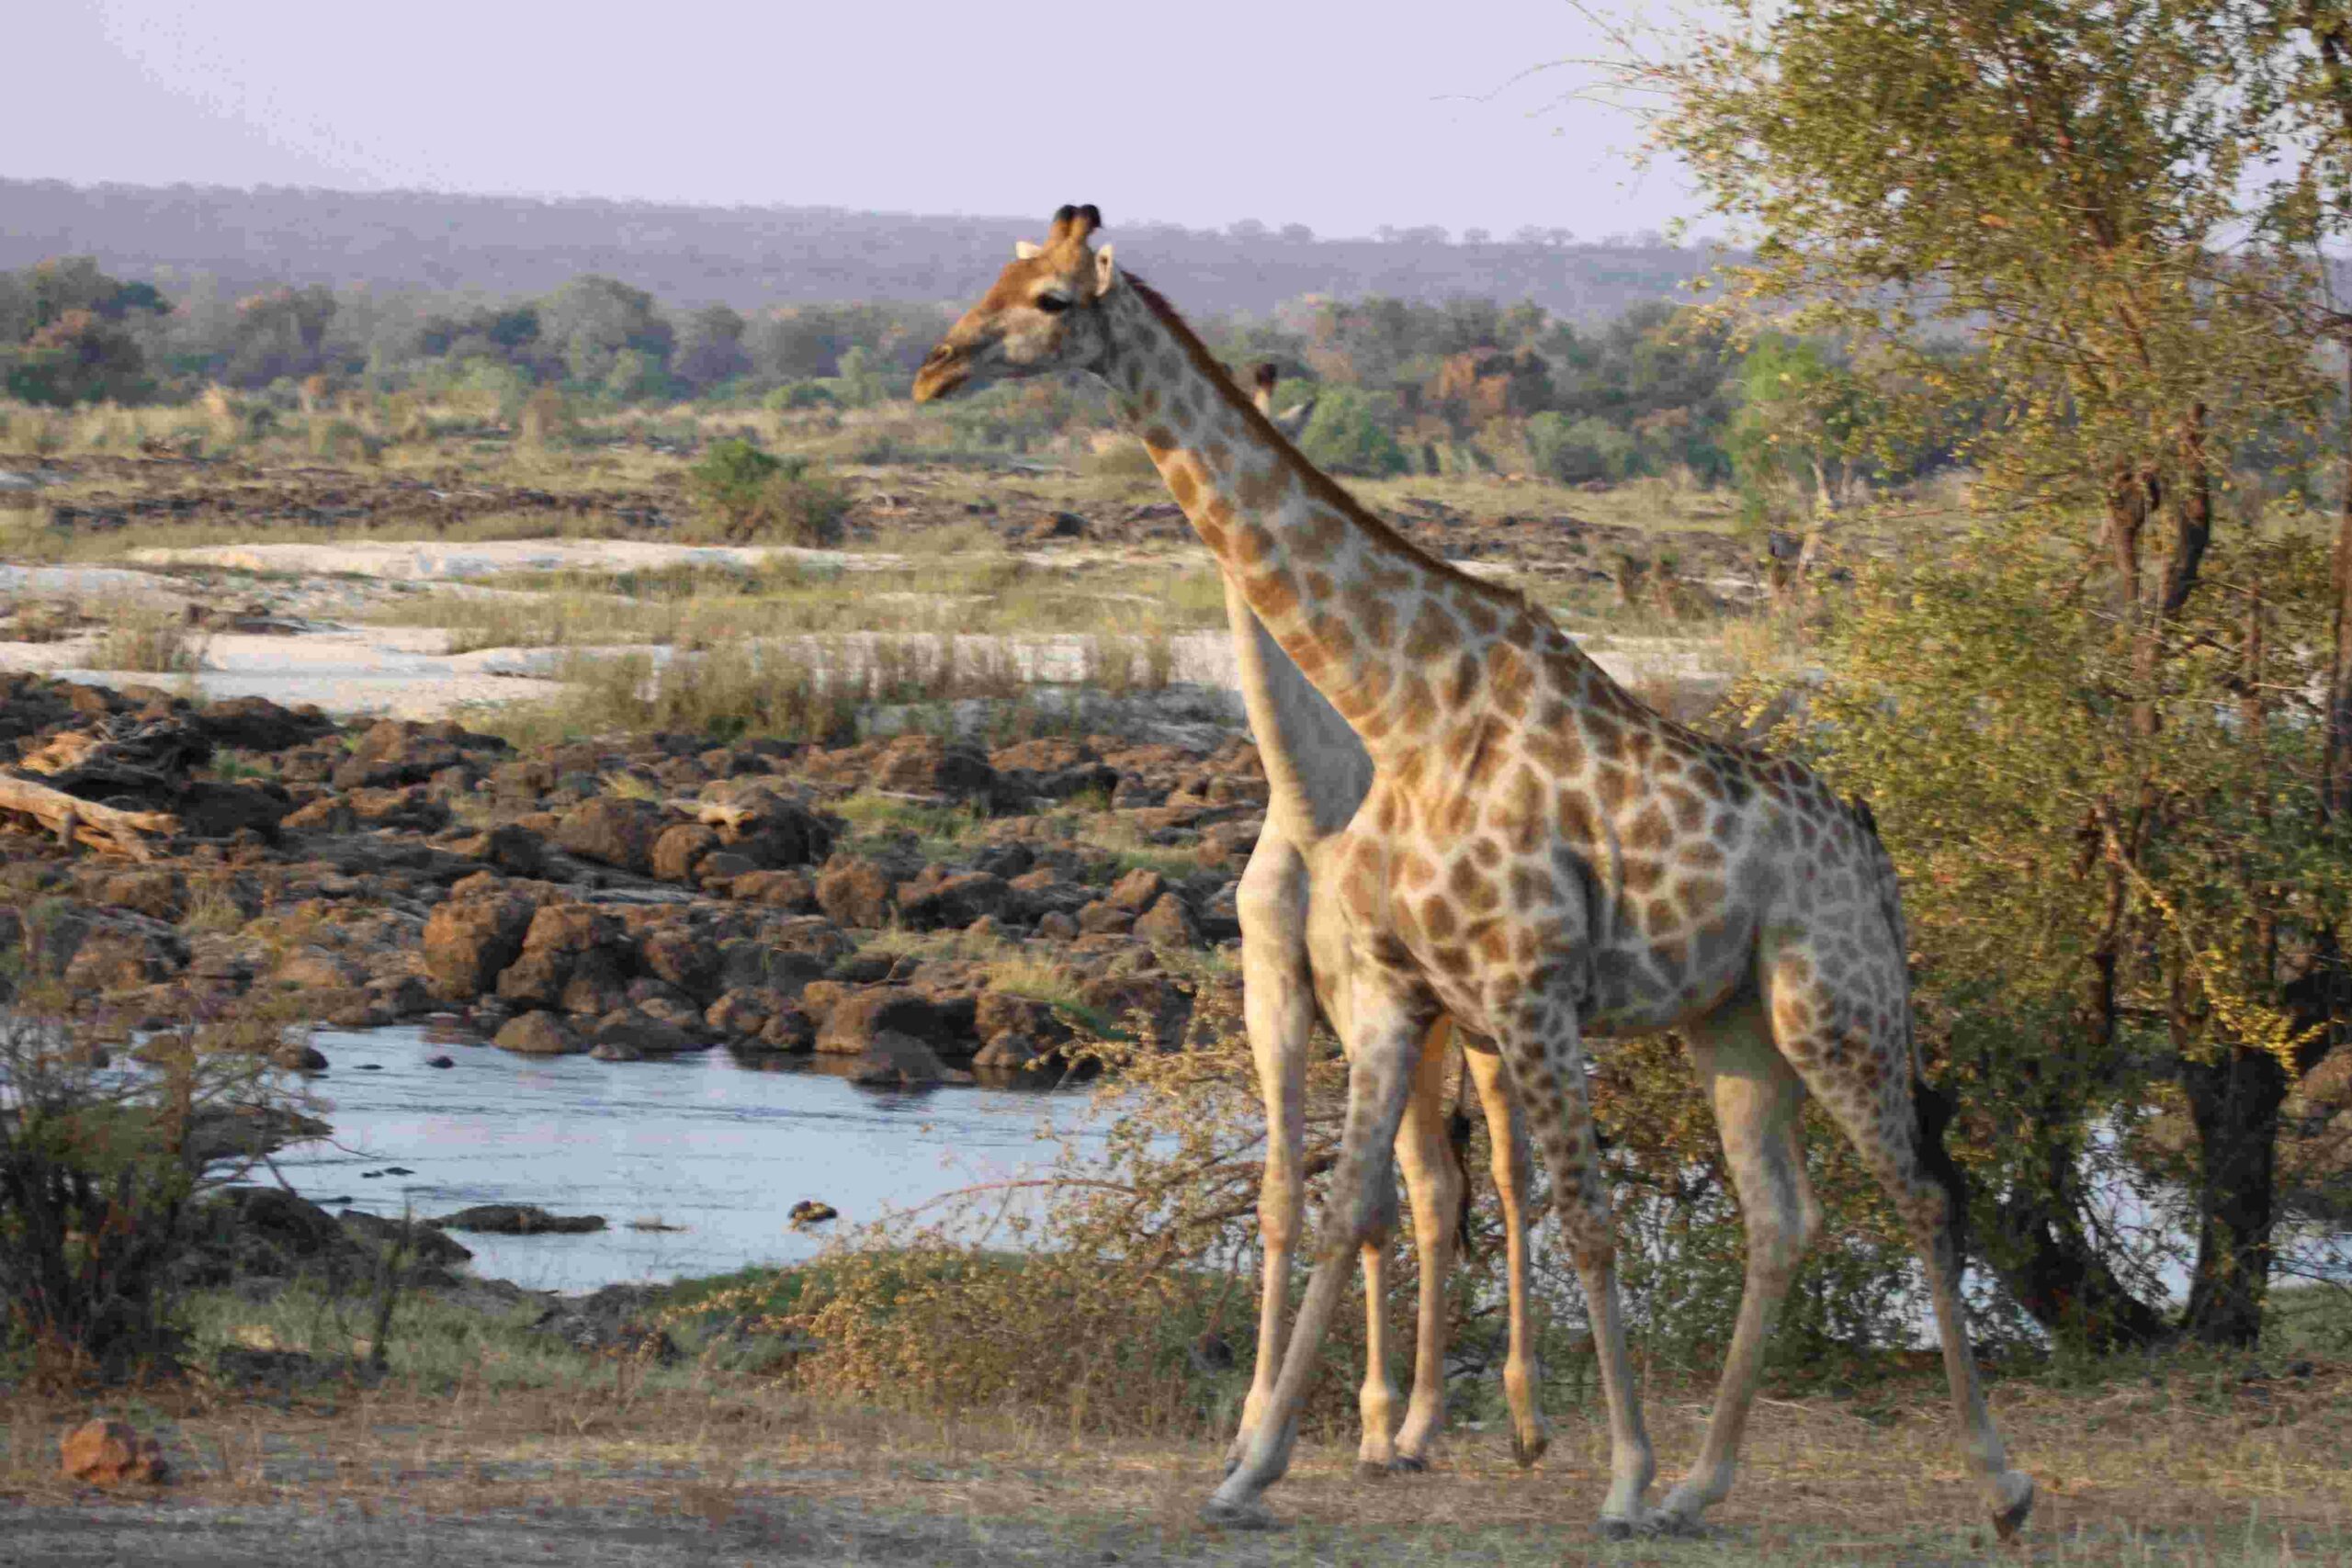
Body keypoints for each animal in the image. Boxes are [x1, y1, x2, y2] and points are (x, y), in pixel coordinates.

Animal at [1219, 358, 1549, 1478]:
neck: (1309, 798)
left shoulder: (1378, 1006)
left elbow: (1376, 1204)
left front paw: (1368, 1421)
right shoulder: (1274, 997)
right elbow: (1290, 1197)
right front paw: (1254, 1423)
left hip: (1481, 1023)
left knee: (1493, 1177)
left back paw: (1503, 1420)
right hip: (1444, 1027)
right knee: (1440, 1182)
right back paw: (1418, 1420)